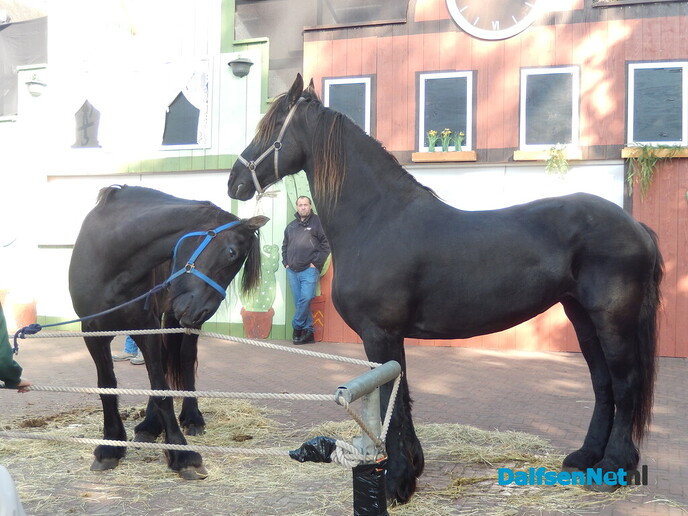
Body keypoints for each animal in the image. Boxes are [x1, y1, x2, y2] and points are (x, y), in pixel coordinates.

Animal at [69, 185, 268, 479]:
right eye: (231, 252)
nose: (199, 312)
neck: (109, 258)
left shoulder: (146, 327)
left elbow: (162, 387)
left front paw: (182, 454)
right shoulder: (93, 333)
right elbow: (107, 385)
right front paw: (110, 446)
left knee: (183, 361)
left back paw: (189, 418)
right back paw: (149, 427)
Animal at [227, 74, 664, 503]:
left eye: (270, 129)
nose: (234, 182)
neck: (376, 219)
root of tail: (635, 226)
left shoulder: (380, 334)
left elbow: (391, 401)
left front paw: (397, 483)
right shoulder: (390, 338)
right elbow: (402, 396)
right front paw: (412, 469)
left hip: (612, 320)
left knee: (624, 383)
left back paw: (614, 465)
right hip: (582, 317)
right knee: (603, 384)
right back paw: (587, 457)